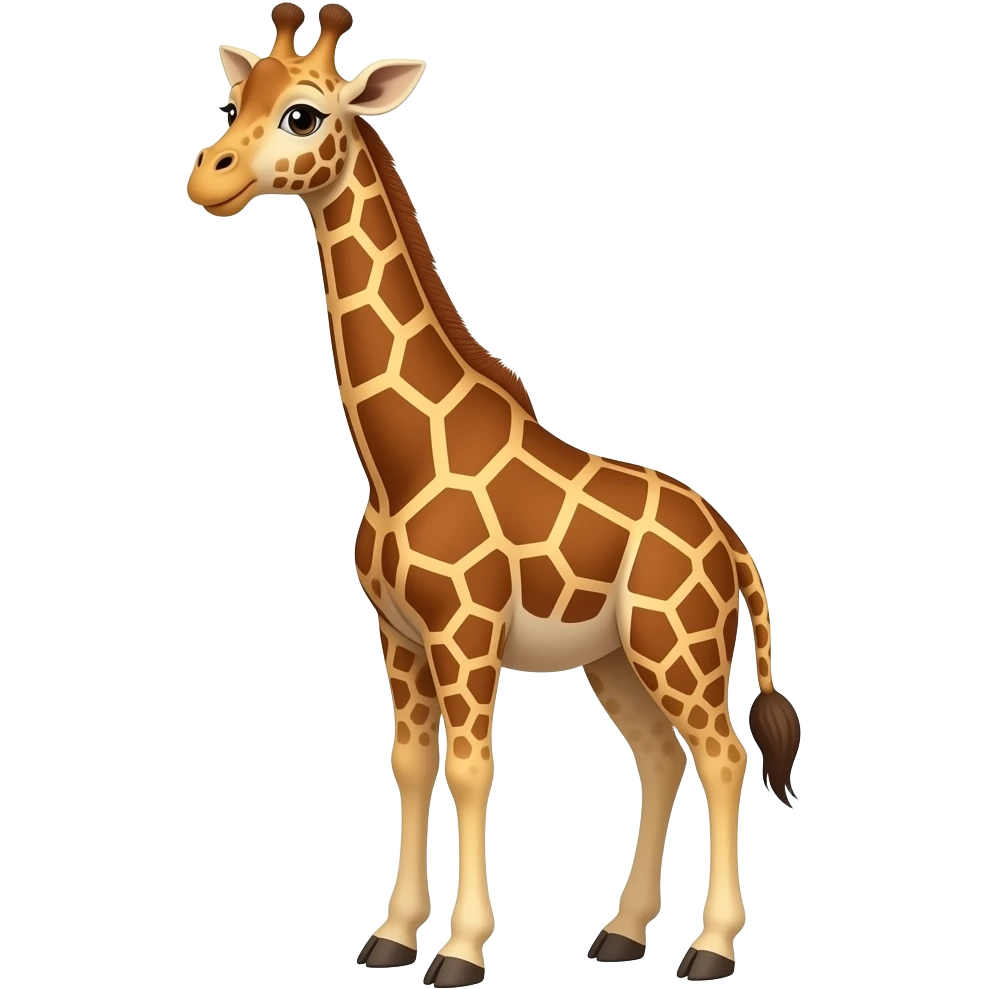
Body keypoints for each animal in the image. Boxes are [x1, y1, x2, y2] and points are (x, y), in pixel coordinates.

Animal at [186, 4, 802, 985]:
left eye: (304, 114)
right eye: (235, 99)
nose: (207, 177)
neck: (396, 463)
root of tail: (733, 543)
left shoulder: (464, 633)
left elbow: (471, 772)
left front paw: (461, 951)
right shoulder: (397, 636)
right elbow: (408, 763)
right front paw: (391, 935)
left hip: (680, 647)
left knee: (723, 751)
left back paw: (707, 947)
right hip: (614, 657)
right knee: (661, 756)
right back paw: (622, 932)